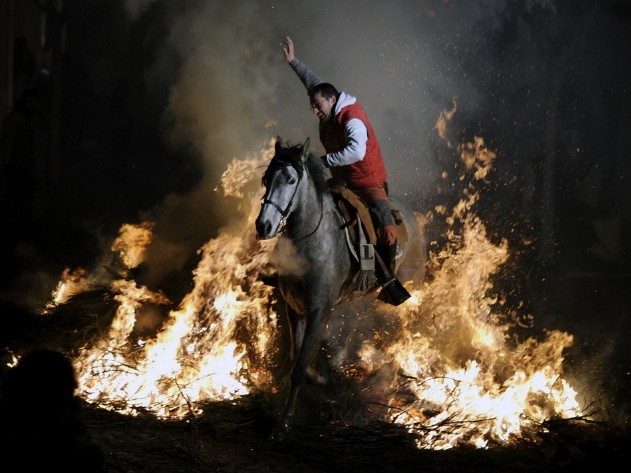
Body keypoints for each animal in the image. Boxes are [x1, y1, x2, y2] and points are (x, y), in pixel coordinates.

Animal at [255, 136, 425, 440]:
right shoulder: (295, 309)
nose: (264, 225)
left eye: (291, 179)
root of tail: (409, 215)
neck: (310, 242)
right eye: (266, 178)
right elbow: (296, 359)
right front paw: (320, 377)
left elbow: (299, 367)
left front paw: (283, 424)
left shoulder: (318, 311)